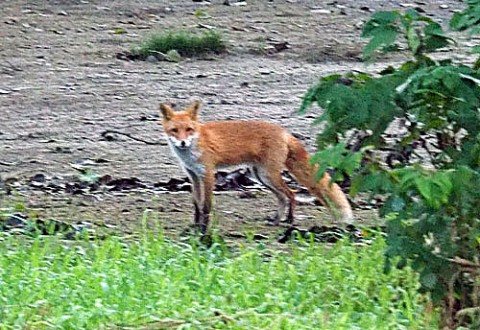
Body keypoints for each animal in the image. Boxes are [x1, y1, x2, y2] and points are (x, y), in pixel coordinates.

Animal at [160, 100, 352, 232]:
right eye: (174, 130)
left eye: (189, 129)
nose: (183, 143)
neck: (195, 145)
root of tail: (284, 131)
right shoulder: (193, 175)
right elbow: (196, 204)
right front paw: (194, 226)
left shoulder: (207, 174)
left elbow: (206, 206)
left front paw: (204, 229)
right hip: (260, 176)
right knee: (282, 197)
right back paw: (276, 220)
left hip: (268, 175)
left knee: (291, 194)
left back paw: (289, 221)